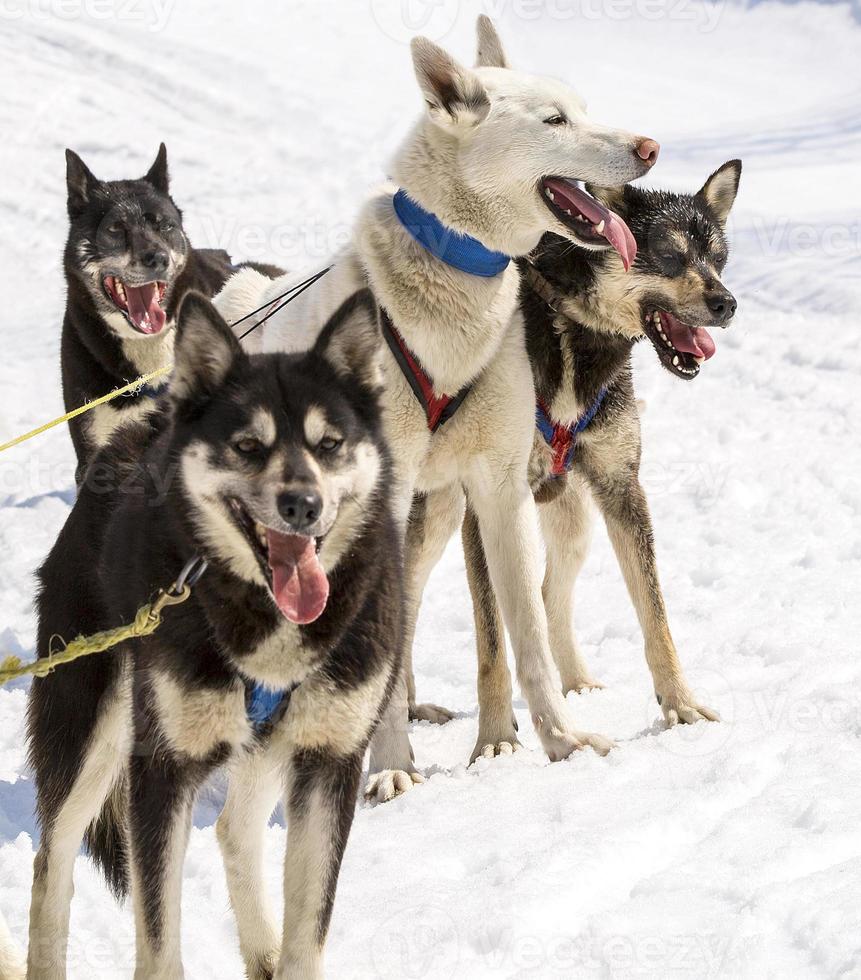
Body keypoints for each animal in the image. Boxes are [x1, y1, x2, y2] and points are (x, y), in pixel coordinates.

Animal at [25, 288, 402, 976]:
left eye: (330, 443)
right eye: (248, 446)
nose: (302, 505)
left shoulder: (328, 763)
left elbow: (308, 935)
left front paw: (287, 955)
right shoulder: (163, 771)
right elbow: (158, 941)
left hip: (262, 746)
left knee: (233, 830)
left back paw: (262, 953)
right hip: (92, 736)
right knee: (53, 859)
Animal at [410, 161, 740, 760]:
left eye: (719, 259)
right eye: (670, 255)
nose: (727, 303)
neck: (572, 333)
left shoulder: (623, 490)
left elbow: (656, 617)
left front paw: (681, 704)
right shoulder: (484, 503)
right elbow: (491, 646)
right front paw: (495, 739)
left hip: (574, 521)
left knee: (547, 597)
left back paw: (576, 680)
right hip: (437, 518)